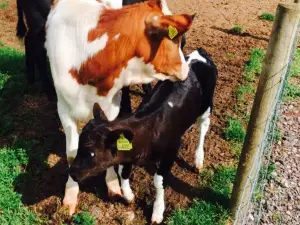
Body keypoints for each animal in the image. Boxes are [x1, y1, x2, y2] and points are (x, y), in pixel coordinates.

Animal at [44, 0, 195, 216]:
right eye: (174, 40)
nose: (186, 69)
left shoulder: (111, 105)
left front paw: (113, 185)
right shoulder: (63, 108)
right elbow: (71, 152)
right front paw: (70, 196)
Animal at [69, 48, 217, 223]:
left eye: (91, 152)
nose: (72, 173)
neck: (150, 129)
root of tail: (197, 53)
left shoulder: (171, 149)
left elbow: (159, 180)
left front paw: (157, 212)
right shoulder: (127, 152)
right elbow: (123, 172)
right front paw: (128, 196)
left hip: (207, 106)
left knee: (203, 128)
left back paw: (198, 159)